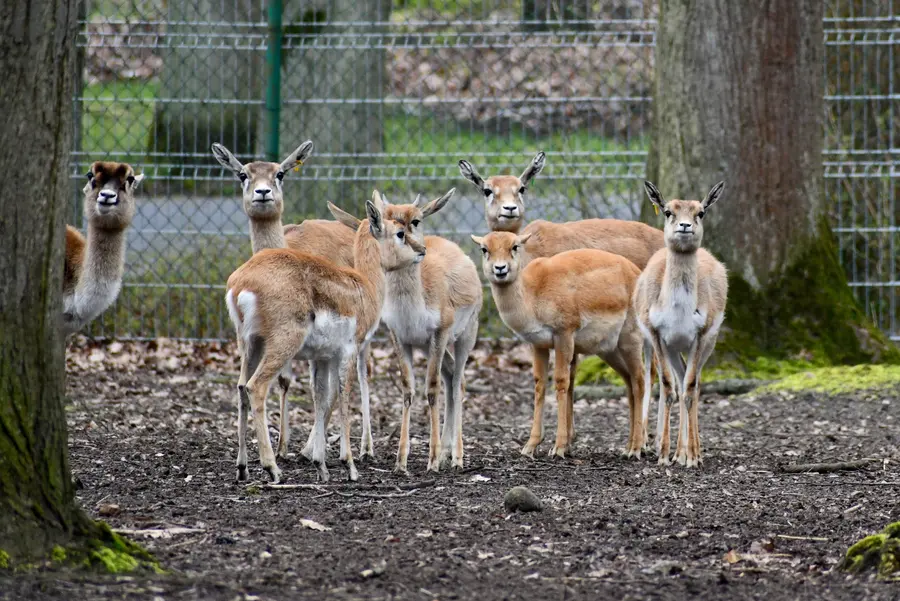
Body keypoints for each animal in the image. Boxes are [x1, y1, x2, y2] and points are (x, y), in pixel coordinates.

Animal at [211, 141, 376, 460]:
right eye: (242, 174)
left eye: (280, 173)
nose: (263, 192)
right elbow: (285, 381)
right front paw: (282, 447)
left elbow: (321, 387)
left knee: (363, 372)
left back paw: (363, 447)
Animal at [474, 232, 644, 458]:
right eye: (485, 248)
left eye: (515, 246)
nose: (500, 268)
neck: (533, 295)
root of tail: (637, 273)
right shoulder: (537, 344)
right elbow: (539, 384)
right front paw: (530, 445)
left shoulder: (564, 334)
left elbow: (562, 381)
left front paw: (559, 446)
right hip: (610, 350)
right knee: (629, 382)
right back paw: (629, 447)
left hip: (631, 339)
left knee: (640, 381)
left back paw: (636, 449)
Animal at [636, 180, 728, 466]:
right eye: (668, 211)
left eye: (701, 212)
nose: (685, 226)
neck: (677, 310)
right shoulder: (657, 335)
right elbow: (668, 387)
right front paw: (664, 455)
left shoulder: (700, 336)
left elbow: (689, 388)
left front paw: (694, 457)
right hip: (673, 348)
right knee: (677, 380)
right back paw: (677, 451)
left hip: (706, 344)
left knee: (694, 385)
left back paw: (688, 451)